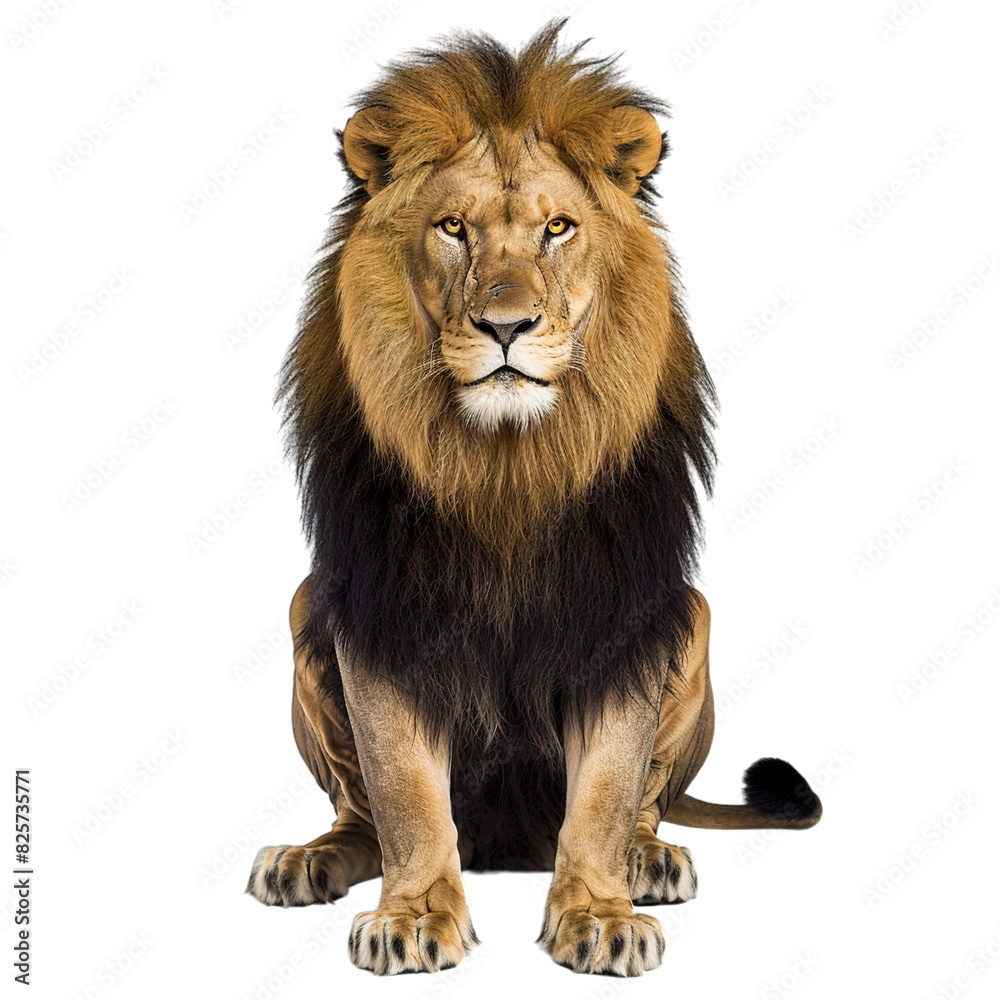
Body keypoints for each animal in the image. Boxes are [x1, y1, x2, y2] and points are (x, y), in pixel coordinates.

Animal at [245, 23, 821, 977]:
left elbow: (607, 788)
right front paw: (412, 916)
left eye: (558, 228)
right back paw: (309, 860)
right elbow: (404, 791)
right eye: (453, 228)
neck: (507, 468)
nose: (505, 326)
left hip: (691, 611)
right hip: (304, 605)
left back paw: (649, 858)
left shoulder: (622, 618)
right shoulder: (383, 611)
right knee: (360, 815)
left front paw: (601, 913)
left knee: (646, 805)